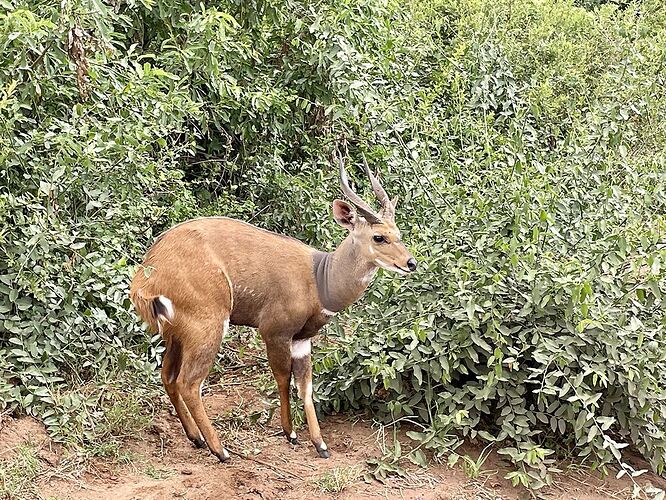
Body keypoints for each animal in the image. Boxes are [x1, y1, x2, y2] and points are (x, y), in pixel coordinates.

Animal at [129, 155, 416, 460]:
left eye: (398, 233)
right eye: (379, 237)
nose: (411, 263)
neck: (320, 278)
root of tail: (146, 277)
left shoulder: (302, 338)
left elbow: (306, 386)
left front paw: (320, 445)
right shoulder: (275, 331)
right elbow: (282, 377)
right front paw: (291, 434)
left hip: (176, 334)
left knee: (168, 376)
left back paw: (196, 438)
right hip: (208, 324)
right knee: (189, 382)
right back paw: (220, 450)